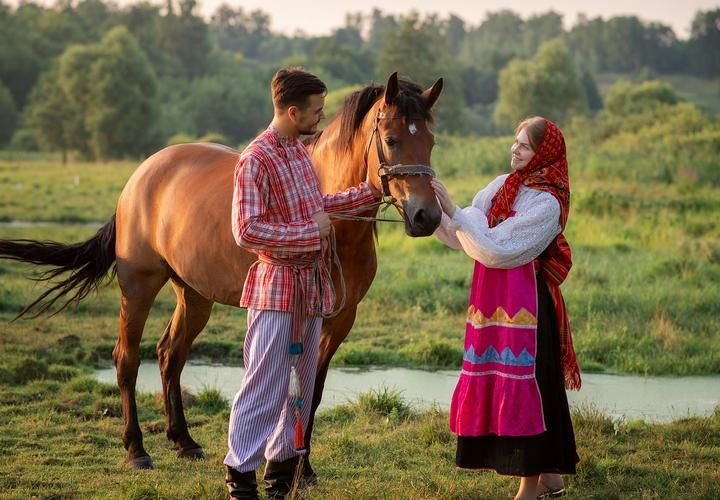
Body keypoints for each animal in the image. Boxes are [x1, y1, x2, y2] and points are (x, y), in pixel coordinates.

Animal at [0, 71, 444, 472]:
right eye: (392, 139)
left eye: (431, 141)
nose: (427, 216)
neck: (336, 222)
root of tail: (140, 177)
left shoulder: (339, 319)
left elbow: (312, 392)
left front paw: (303, 469)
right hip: (139, 287)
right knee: (127, 359)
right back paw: (137, 450)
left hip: (194, 295)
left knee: (170, 356)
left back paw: (184, 441)